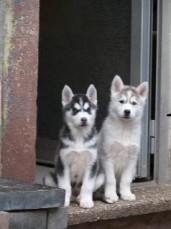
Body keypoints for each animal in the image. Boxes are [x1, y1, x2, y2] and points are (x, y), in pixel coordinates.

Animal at [98, 75, 149, 204]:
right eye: (121, 101)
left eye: (134, 103)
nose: (127, 111)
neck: (124, 129)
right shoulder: (107, 158)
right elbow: (110, 180)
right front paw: (110, 195)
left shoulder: (131, 160)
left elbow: (125, 180)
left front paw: (126, 194)